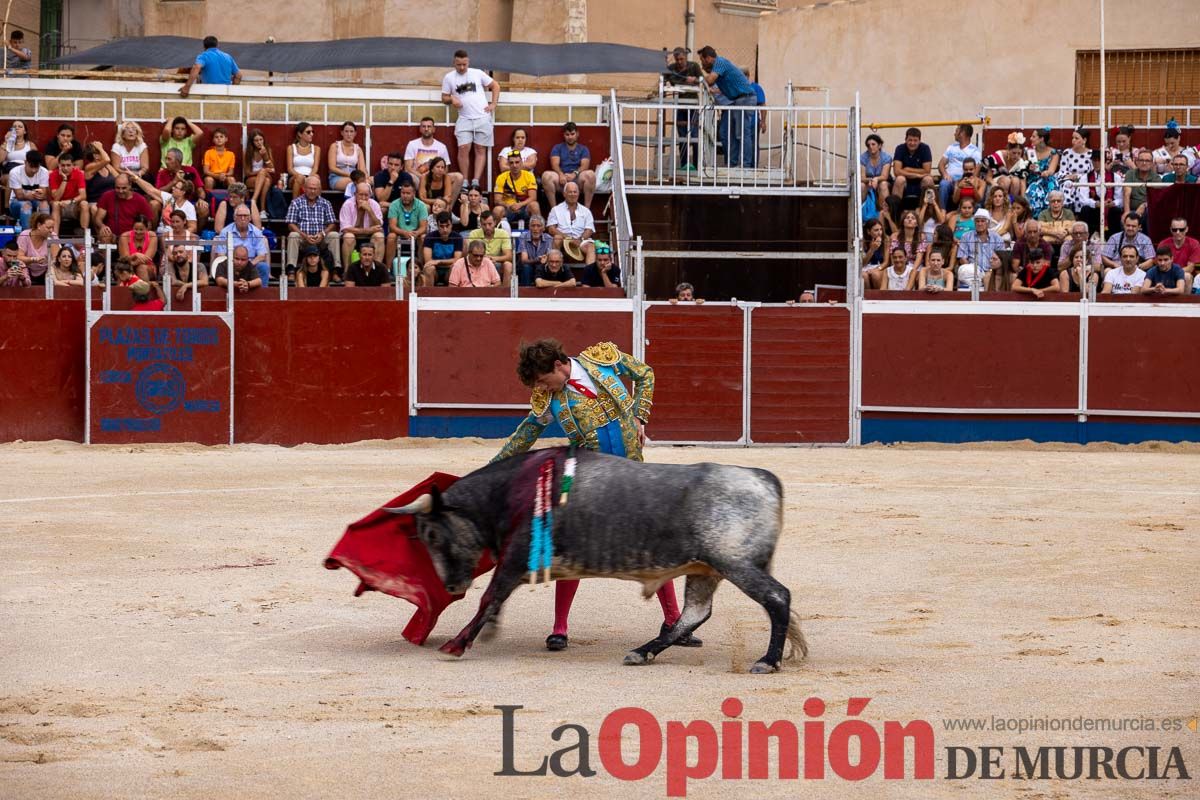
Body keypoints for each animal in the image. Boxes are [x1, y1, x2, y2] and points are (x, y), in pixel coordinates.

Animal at [388, 448, 811, 671]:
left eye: (431, 534)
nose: (450, 585)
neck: (507, 492)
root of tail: (763, 477)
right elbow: (495, 601)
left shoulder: (515, 559)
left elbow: (489, 597)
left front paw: (456, 645)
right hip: (706, 568)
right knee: (695, 613)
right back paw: (642, 652)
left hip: (735, 563)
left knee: (776, 598)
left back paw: (767, 661)